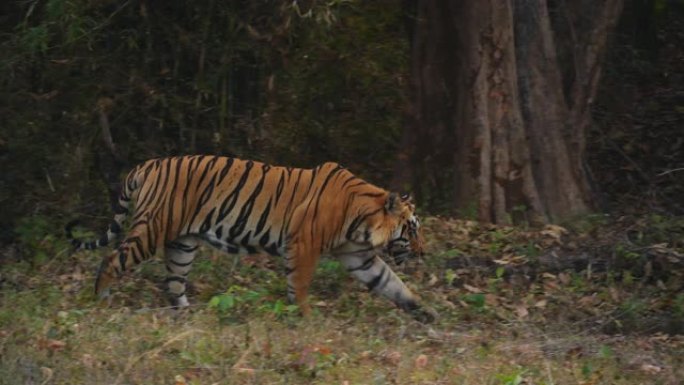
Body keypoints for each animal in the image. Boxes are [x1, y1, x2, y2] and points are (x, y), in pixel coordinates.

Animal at [68, 155, 432, 320]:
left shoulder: (359, 256)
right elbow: (299, 285)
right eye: (412, 228)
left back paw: (187, 315)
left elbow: (391, 283)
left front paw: (424, 311)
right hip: (151, 229)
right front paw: (305, 317)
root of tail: (147, 165)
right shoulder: (304, 246)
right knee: (112, 259)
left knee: (173, 281)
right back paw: (100, 301)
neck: (364, 220)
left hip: (182, 243)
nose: (423, 253)